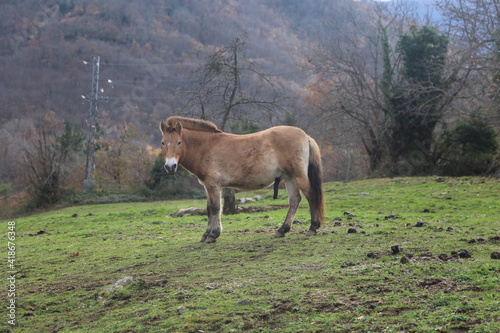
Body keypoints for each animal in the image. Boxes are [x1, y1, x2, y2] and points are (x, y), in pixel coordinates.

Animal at [158, 116, 326, 241]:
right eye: (163, 143)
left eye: (179, 142)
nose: (170, 166)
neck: (206, 146)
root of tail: (305, 136)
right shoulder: (207, 186)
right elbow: (209, 209)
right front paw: (206, 234)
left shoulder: (213, 185)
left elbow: (215, 208)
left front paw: (213, 235)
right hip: (289, 178)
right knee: (294, 200)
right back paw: (282, 230)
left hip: (298, 176)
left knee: (310, 195)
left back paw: (313, 227)